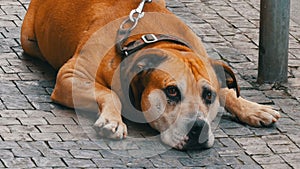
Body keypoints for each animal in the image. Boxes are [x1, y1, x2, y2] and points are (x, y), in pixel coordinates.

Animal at [20, 0, 278, 151]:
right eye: (171, 91)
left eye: (208, 95)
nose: (198, 128)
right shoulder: (70, 76)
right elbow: (110, 94)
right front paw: (112, 121)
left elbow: (228, 92)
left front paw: (252, 108)